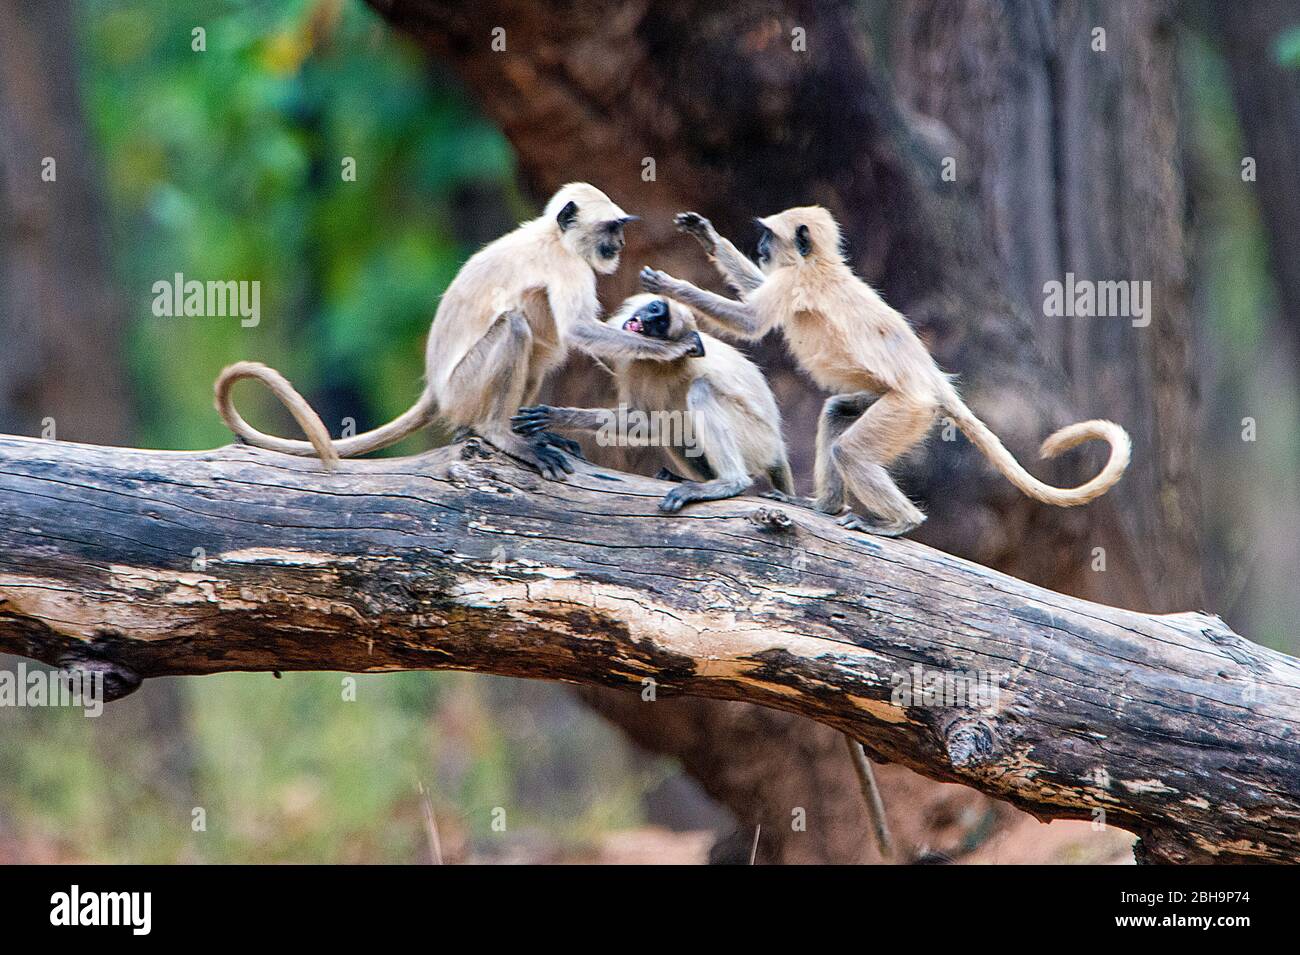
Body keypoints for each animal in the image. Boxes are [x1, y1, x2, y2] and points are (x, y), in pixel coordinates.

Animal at [214, 181, 707, 478]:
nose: (619, 244)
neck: (552, 237)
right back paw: (497, 434)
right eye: (610, 229)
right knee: (518, 326)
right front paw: (671, 349)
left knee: (539, 343)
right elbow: (579, 331)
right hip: (464, 387)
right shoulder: (567, 266)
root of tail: (436, 388)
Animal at [506, 293, 790, 511]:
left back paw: (730, 483)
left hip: (756, 439)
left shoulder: (652, 365)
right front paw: (555, 417)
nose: (649, 318)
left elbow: (652, 422)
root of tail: (775, 444)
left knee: (698, 393)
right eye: (654, 309)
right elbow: (649, 422)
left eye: (660, 324)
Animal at [644, 210, 1133, 537]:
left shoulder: (793, 281)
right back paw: (824, 505)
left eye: (767, 236)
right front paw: (709, 238)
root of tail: (932, 380)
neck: (818, 266)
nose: (761, 248)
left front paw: (672, 287)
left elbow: (750, 321)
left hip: (908, 409)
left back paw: (899, 523)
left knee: (851, 453)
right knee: (837, 412)